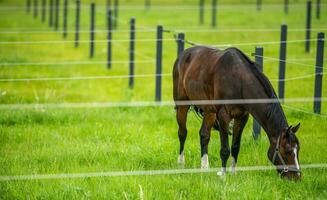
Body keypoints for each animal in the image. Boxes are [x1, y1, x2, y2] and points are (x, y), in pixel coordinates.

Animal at [174, 45, 302, 180]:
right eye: (288, 151)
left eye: (298, 149)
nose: (297, 176)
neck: (239, 81)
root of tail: (183, 54)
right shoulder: (223, 116)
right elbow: (225, 149)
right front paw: (223, 175)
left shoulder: (242, 117)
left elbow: (235, 146)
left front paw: (233, 172)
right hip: (182, 105)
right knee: (182, 132)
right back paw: (181, 163)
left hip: (209, 111)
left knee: (204, 135)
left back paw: (204, 168)